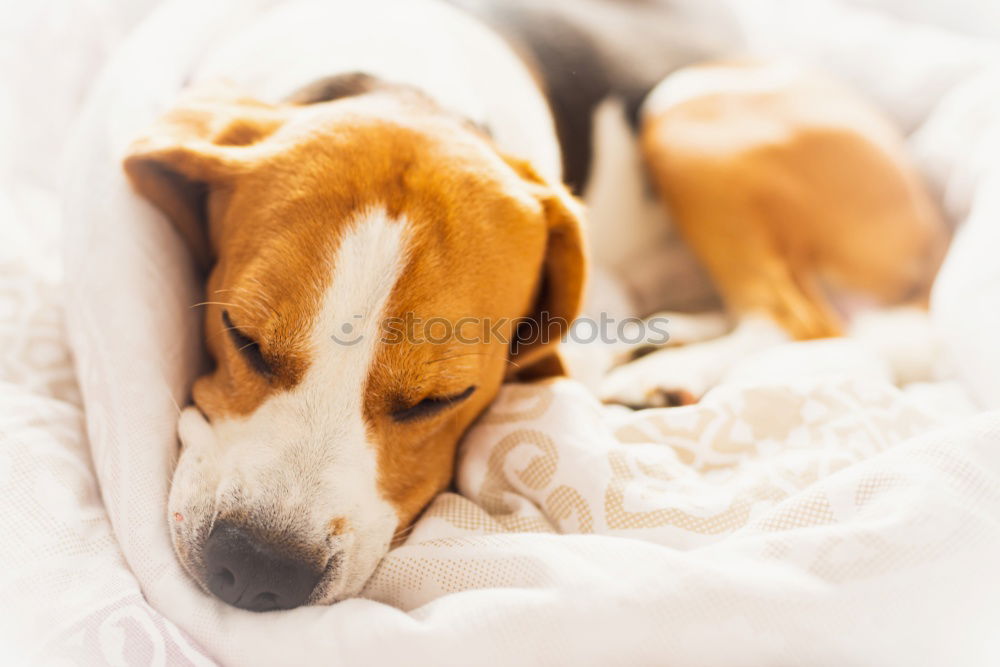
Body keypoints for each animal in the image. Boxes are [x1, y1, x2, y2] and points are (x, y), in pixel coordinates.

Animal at [125, 0, 944, 612]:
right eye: (240, 335)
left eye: (442, 399)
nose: (260, 568)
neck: (408, 82)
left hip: (689, 112)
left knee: (802, 318)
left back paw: (672, 370)